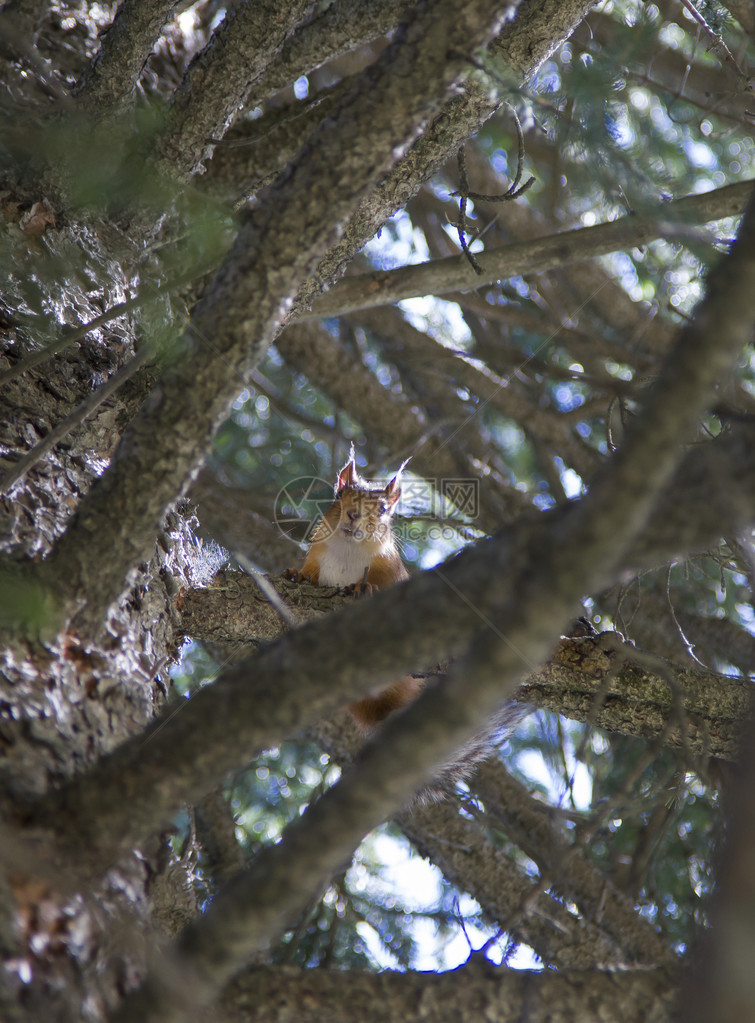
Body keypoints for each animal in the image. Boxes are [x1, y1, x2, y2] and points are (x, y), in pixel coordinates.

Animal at [294, 452, 423, 732]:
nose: (353, 515)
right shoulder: (316, 556)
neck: (349, 548)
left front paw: (365, 587)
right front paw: (295, 574)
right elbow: (309, 574)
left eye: (383, 509)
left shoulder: (389, 569)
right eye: (340, 494)